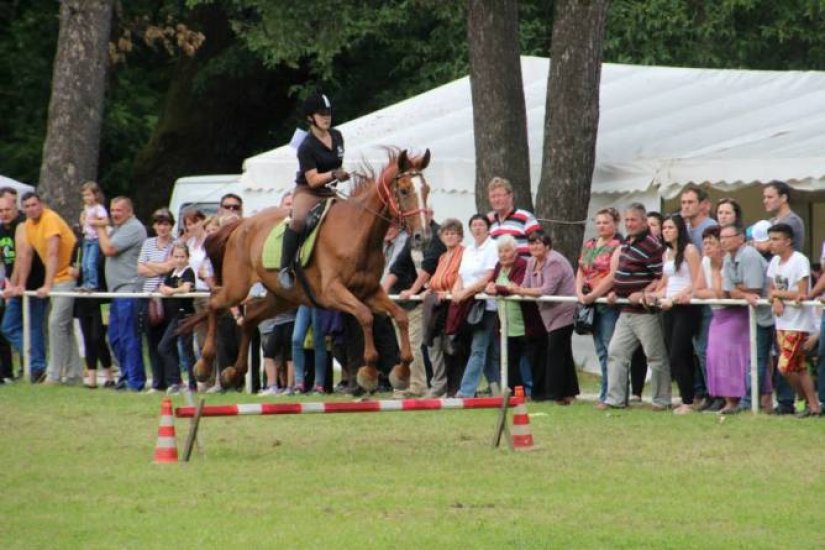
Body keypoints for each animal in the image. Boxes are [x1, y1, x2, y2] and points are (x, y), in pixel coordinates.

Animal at [186, 149, 432, 394]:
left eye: (427, 190)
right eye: (404, 190)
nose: (423, 236)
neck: (359, 234)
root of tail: (241, 224)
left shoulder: (369, 292)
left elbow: (400, 316)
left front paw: (402, 372)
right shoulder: (333, 292)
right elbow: (365, 316)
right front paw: (370, 371)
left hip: (281, 299)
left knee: (248, 320)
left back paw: (234, 371)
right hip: (237, 288)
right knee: (214, 305)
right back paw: (204, 365)